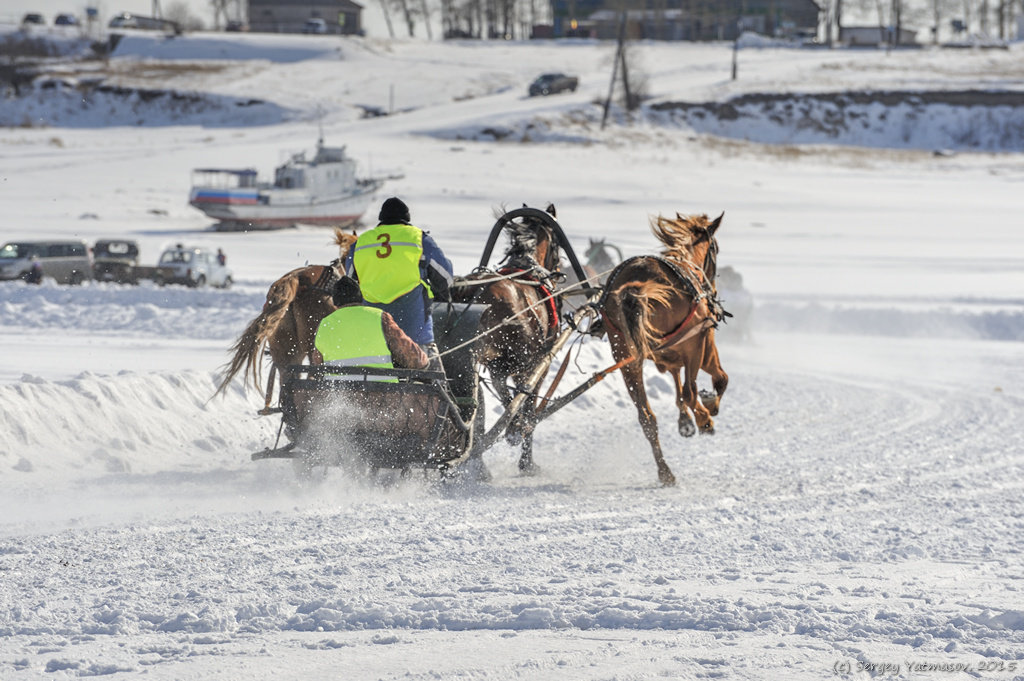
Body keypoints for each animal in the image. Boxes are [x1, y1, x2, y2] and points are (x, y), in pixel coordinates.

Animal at [598, 215, 733, 485]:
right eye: (715, 248)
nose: (713, 291)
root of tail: (636, 286)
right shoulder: (703, 346)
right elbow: (719, 380)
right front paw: (709, 406)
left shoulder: (668, 356)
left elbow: (678, 389)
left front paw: (685, 422)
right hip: (692, 347)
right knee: (692, 391)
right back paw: (704, 420)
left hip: (626, 358)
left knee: (647, 418)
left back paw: (665, 471)